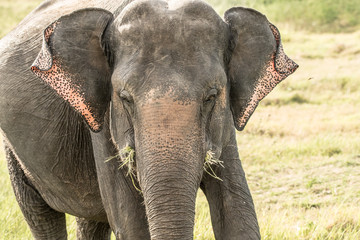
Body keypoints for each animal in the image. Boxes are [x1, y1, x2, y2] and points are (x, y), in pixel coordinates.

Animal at [0, 0, 298, 239]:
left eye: (211, 97)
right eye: (125, 98)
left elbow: (237, 212)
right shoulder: (103, 124)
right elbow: (131, 220)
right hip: (15, 151)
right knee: (40, 214)